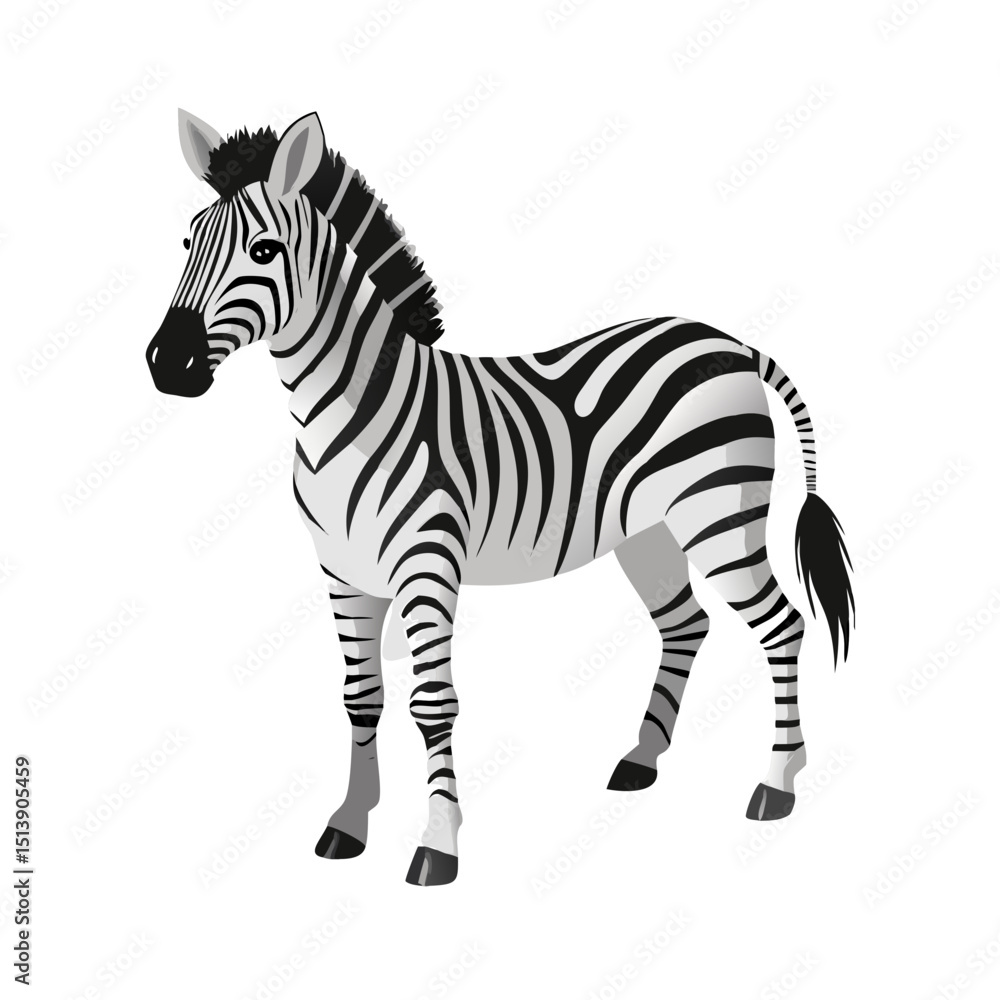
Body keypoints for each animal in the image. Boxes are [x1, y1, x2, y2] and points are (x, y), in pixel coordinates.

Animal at [147, 110, 854, 886]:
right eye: (186, 244)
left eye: (265, 251)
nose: (167, 364)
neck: (348, 410)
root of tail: (730, 343)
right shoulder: (342, 574)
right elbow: (361, 697)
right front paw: (348, 824)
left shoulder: (427, 565)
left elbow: (432, 703)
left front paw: (437, 844)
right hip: (648, 532)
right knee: (685, 623)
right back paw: (641, 758)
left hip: (720, 516)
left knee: (781, 626)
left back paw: (776, 785)